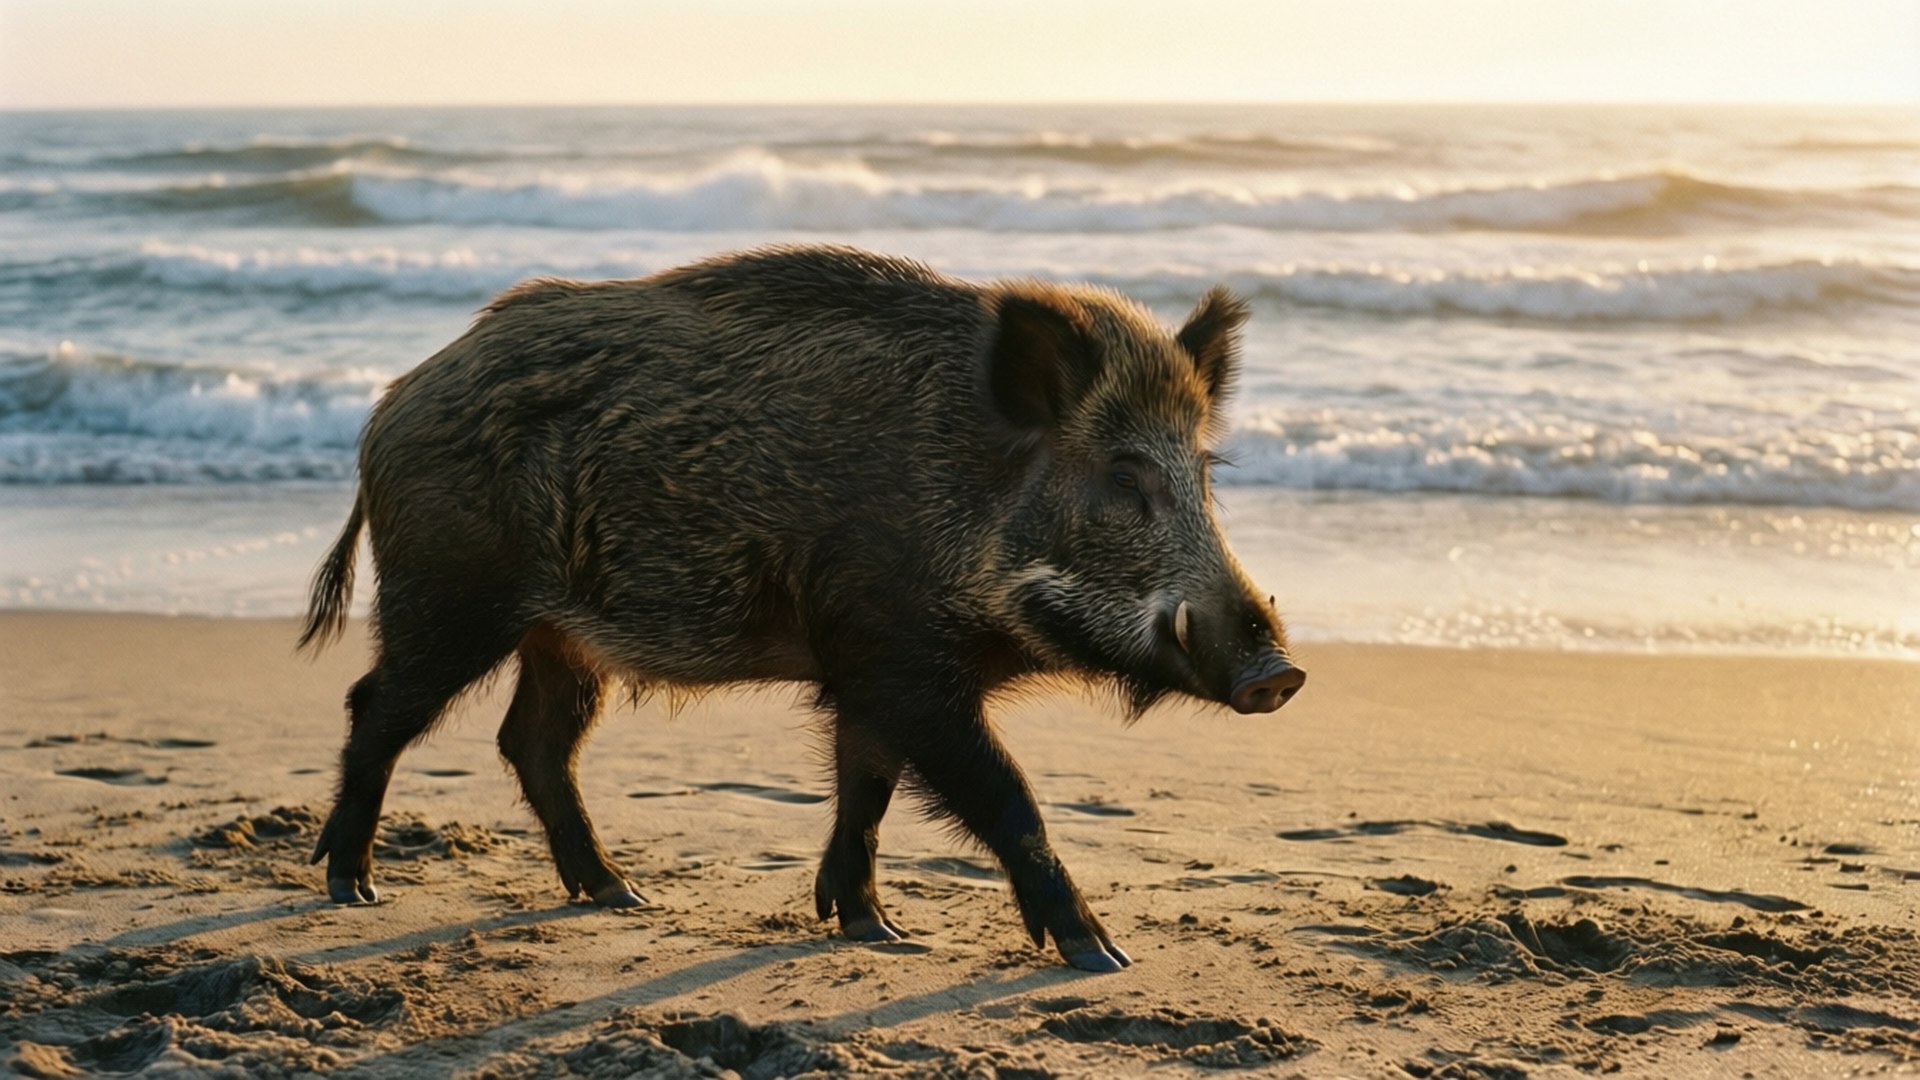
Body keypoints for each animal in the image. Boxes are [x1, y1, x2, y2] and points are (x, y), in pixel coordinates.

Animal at [298, 245, 1304, 971]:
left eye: (1203, 472)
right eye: (1125, 475)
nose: (1281, 673)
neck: (967, 493)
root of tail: (390, 408)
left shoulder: (866, 673)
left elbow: (868, 790)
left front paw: (875, 929)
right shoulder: (902, 664)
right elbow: (1006, 797)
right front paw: (1104, 955)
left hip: (562, 636)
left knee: (533, 739)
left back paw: (621, 894)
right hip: (450, 597)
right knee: (377, 707)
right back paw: (352, 886)